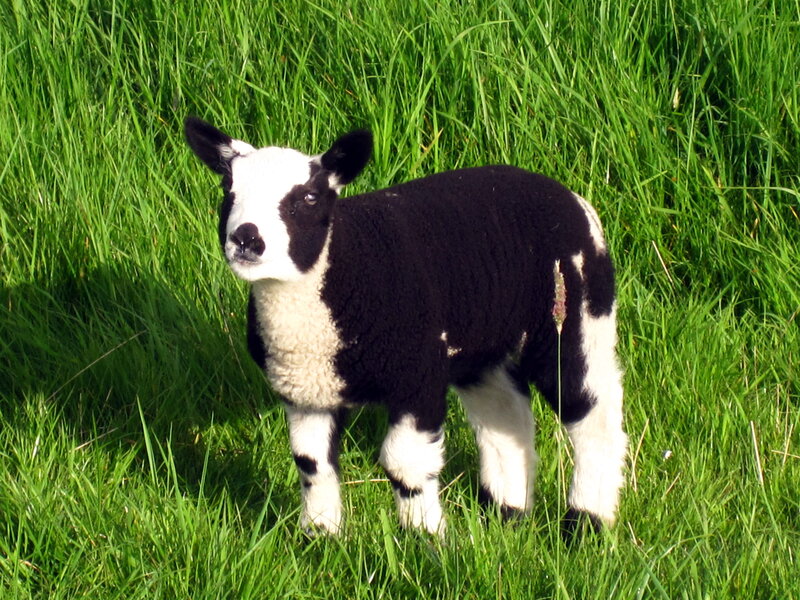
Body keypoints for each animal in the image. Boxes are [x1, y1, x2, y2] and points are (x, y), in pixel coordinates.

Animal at [184, 117, 627, 537]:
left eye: (308, 198)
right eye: (228, 189)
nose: (246, 239)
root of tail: (572, 198)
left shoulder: (417, 377)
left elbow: (405, 464)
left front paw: (425, 538)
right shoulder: (308, 391)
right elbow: (311, 463)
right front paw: (320, 537)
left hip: (574, 315)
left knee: (593, 414)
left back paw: (586, 523)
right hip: (479, 345)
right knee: (505, 417)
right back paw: (507, 515)